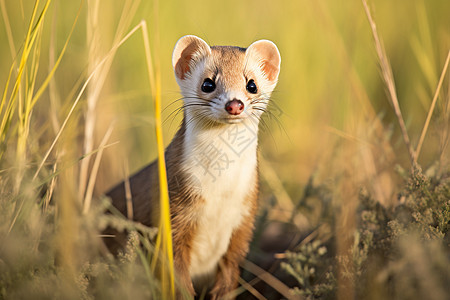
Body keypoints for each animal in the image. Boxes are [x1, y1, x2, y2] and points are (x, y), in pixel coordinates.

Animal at [105, 34, 282, 298]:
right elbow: (175, 271)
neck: (220, 191)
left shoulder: (245, 216)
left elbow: (231, 268)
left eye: (251, 84)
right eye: (208, 83)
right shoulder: (172, 210)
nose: (234, 104)